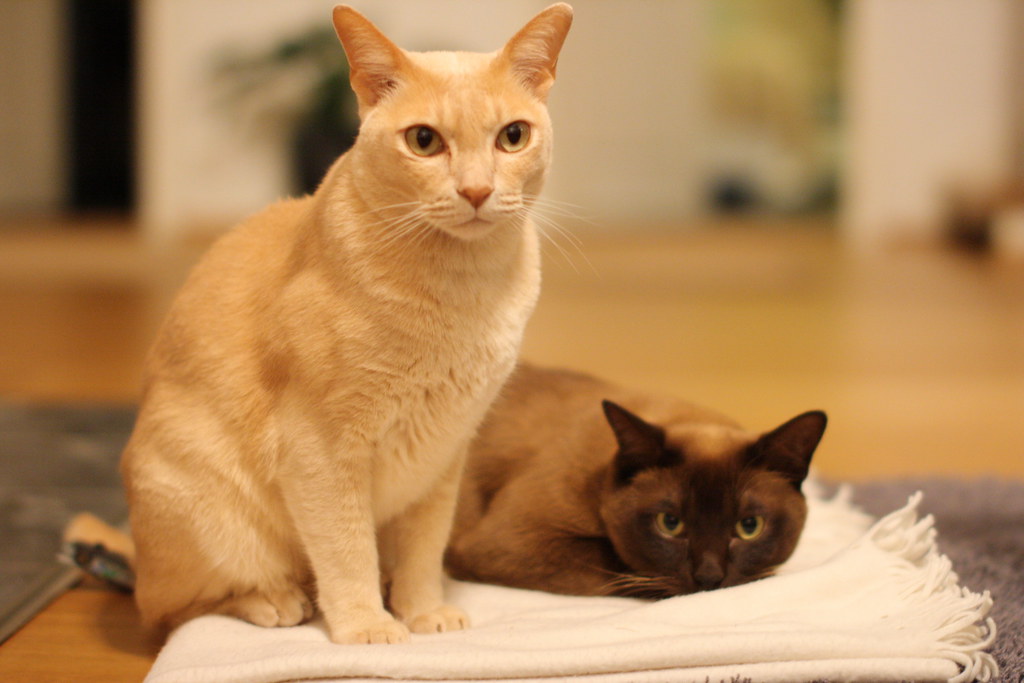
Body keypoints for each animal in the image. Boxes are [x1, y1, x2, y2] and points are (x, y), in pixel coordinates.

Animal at [118, 2, 573, 647]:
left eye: (513, 136)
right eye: (424, 141)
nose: (477, 190)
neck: (461, 292)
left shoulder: (444, 456)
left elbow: (422, 549)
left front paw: (422, 610)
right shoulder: (320, 452)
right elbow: (345, 549)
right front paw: (365, 626)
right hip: (200, 508)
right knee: (172, 608)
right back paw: (275, 600)